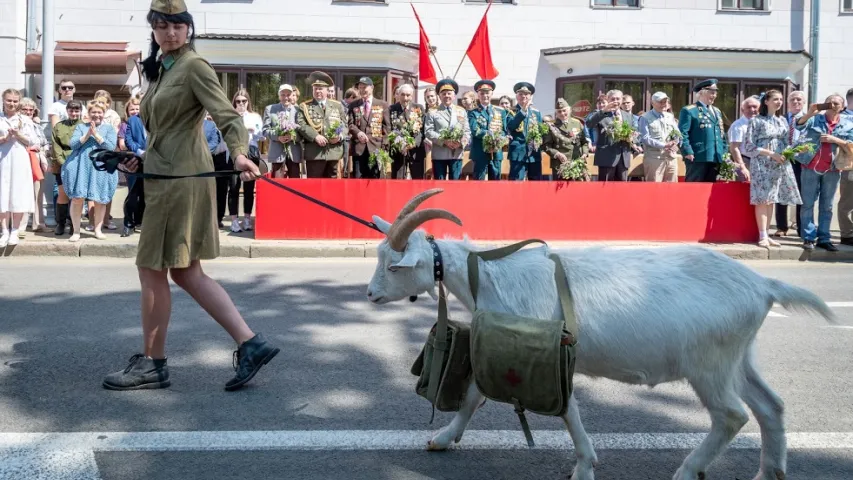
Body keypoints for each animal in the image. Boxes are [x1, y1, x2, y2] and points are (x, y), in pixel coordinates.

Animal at [364, 188, 832, 480]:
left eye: (392, 265)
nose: (370, 293)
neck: (492, 276)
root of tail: (763, 286)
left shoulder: (545, 350)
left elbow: (566, 409)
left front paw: (584, 466)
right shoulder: (508, 348)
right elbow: (476, 394)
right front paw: (443, 439)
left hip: (709, 365)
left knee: (732, 415)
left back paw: (688, 469)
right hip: (739, 356)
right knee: (770, 405)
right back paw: (769, 471)